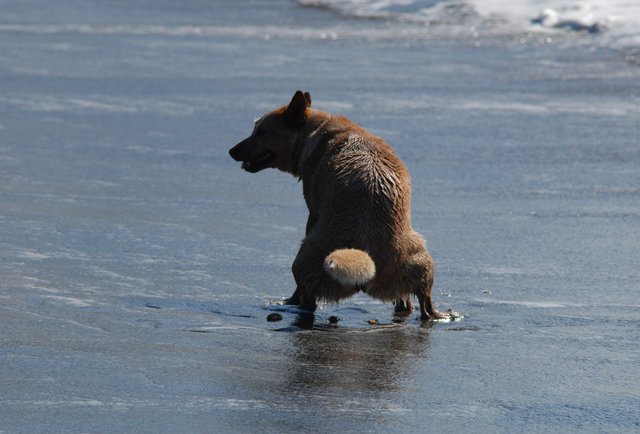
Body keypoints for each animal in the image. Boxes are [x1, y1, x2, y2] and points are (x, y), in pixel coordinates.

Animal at [228, 90, 452, 318]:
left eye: (262, 132)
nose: (231, 151)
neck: (313, 132)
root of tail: (365, 255)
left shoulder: (313, 214)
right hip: (421, 261)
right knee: (422, 304)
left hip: (303, 259)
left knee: (307, 299)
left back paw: (291, 304)